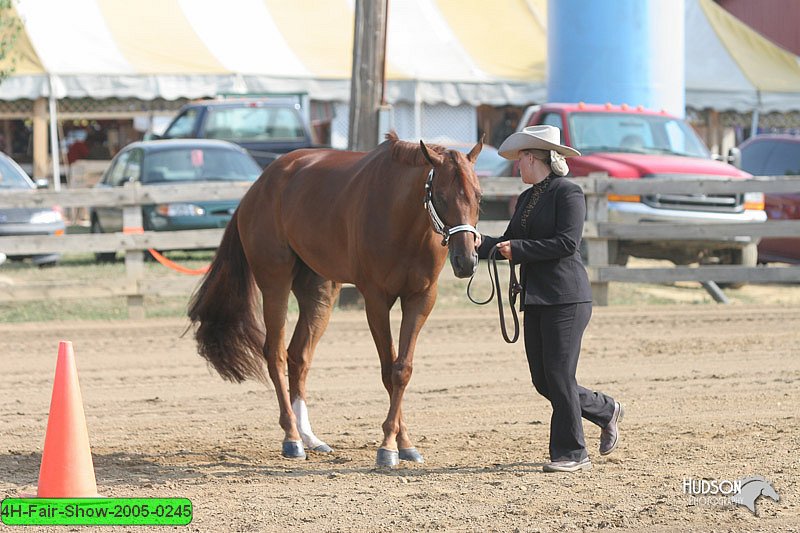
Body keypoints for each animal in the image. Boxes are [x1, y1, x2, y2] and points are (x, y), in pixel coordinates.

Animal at [189, 133, 482, 466]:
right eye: (442, 197)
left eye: (479, 197)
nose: (466, 261)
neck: (403, 220)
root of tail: (260, 184)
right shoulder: (376, 300)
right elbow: (388, 370)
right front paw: (387, 447)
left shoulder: (421, 299)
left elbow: (402, 369)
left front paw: (404, 443)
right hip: (275, 283)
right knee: (275, 354)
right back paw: (292, 438)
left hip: (320, 293)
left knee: (299, 355)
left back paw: (309, 437)